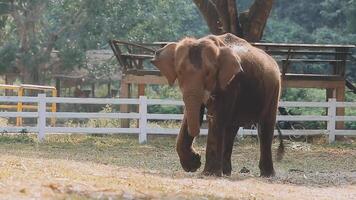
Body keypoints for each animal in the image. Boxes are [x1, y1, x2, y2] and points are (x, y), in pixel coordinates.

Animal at [151, 33, 284, 177]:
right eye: (179, 72)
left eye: (209, 73)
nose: (197, 155)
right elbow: (192, 114)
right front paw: (193, 165)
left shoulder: (231, 83)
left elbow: (217, 117)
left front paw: (208, 173)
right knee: (231, 128)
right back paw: (226, 172)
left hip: (274, 89)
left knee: (265, 127)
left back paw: (267, 175)